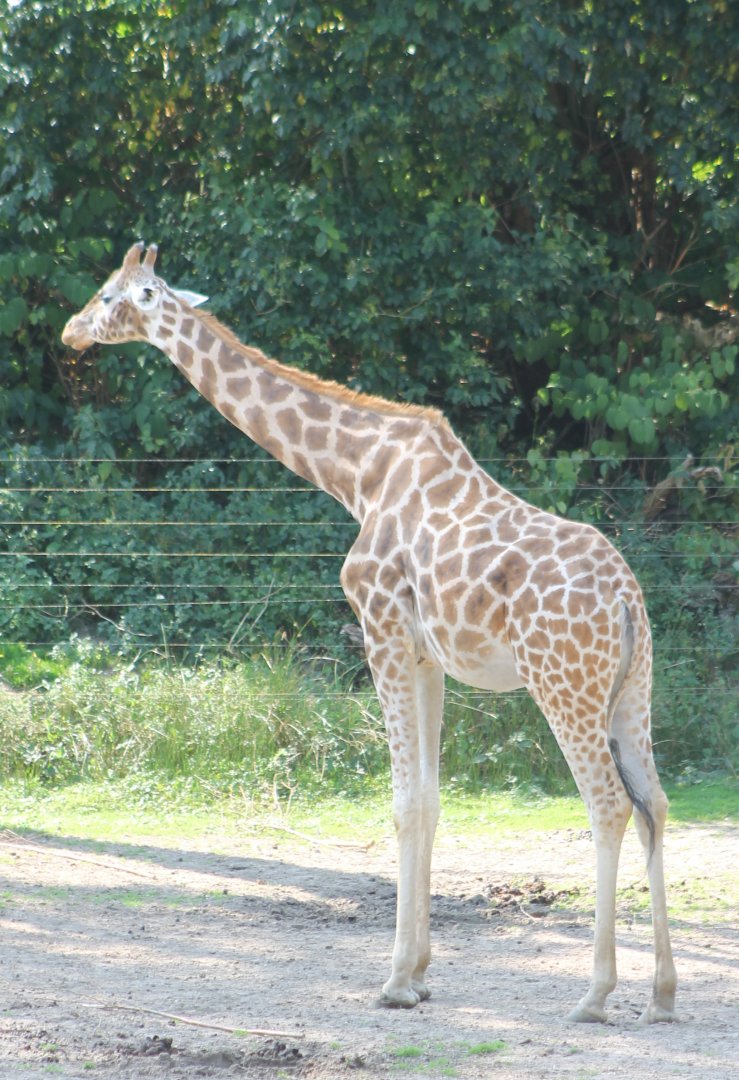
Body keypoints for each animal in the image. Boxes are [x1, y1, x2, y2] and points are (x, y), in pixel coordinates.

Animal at [62, 242, 677, 1024]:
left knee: (606, 804)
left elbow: (404, 801)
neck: (354, 473)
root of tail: (628, 600)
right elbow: (432, 801)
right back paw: (661, 995)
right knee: (655, 803)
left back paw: (595, 993)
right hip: (632, 687)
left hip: (563, 684)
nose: (71, 331)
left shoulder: (379, 627)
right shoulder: (426, 655)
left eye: (111, 296)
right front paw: (418, 973)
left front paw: (393, 982)